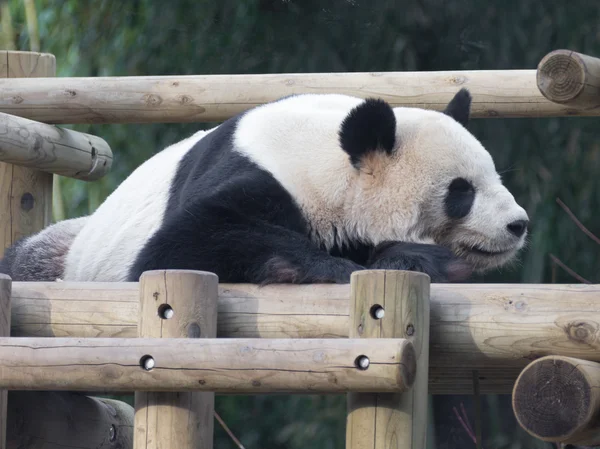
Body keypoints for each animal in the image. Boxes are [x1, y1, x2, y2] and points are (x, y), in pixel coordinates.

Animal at [0, 88, 528, 284]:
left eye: (495, 177)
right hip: (62, 255)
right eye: (461, 191)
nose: (518, 225)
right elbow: (178, 249)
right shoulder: (254, 176)